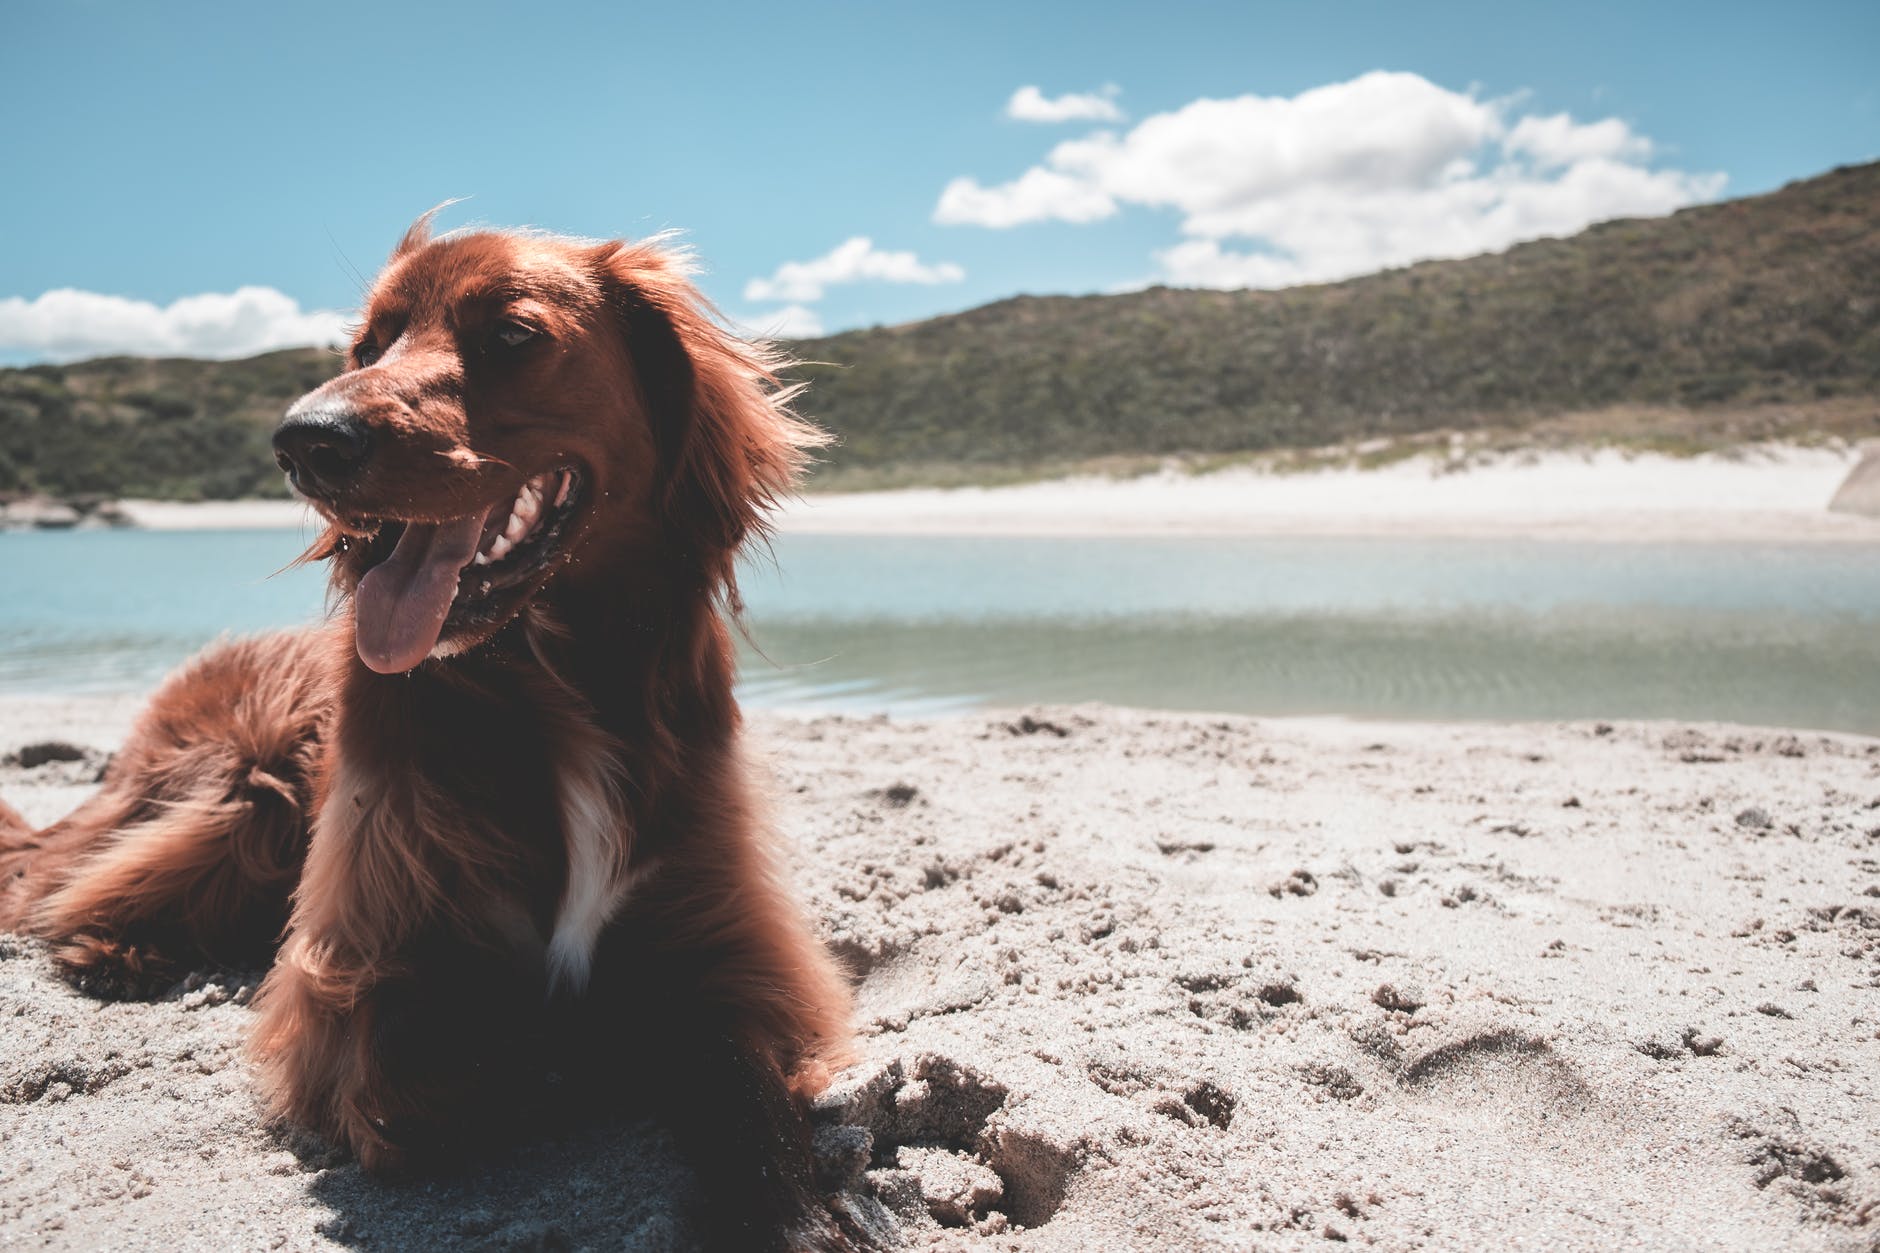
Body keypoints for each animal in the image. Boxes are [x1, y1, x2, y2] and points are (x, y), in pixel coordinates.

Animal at [0, 217, 853, 1249]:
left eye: (513, 335)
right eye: (368, 346)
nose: (303, 440)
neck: (553, 679)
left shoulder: (729, 942)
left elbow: (740, 1083)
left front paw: (796, 1212)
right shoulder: (352, 974)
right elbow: (451, 1068)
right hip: (244, 787)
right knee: (64, 880)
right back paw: (117, 951)